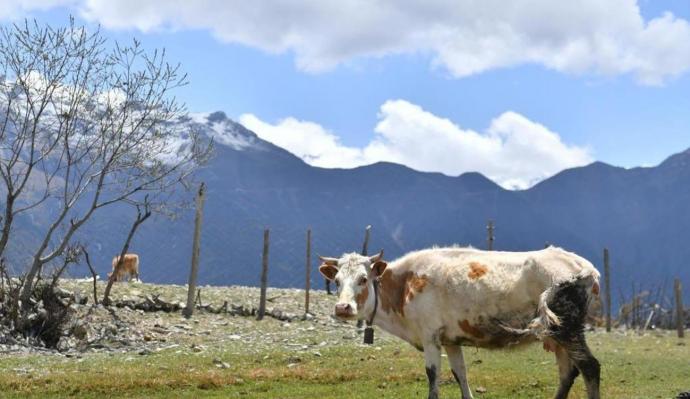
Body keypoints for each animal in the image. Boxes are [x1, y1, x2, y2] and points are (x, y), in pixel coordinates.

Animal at [320, 247, 600, 399]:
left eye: (363, 279)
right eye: (337, 281)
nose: (342, 308)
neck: (404, 286)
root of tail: (584, 265)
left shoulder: (430, 337)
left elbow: (433, 376)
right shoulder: (451, 340)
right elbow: (460, 374)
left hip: (568, 330)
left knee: (589, 367)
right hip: (558, 334)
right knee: (568, 372)